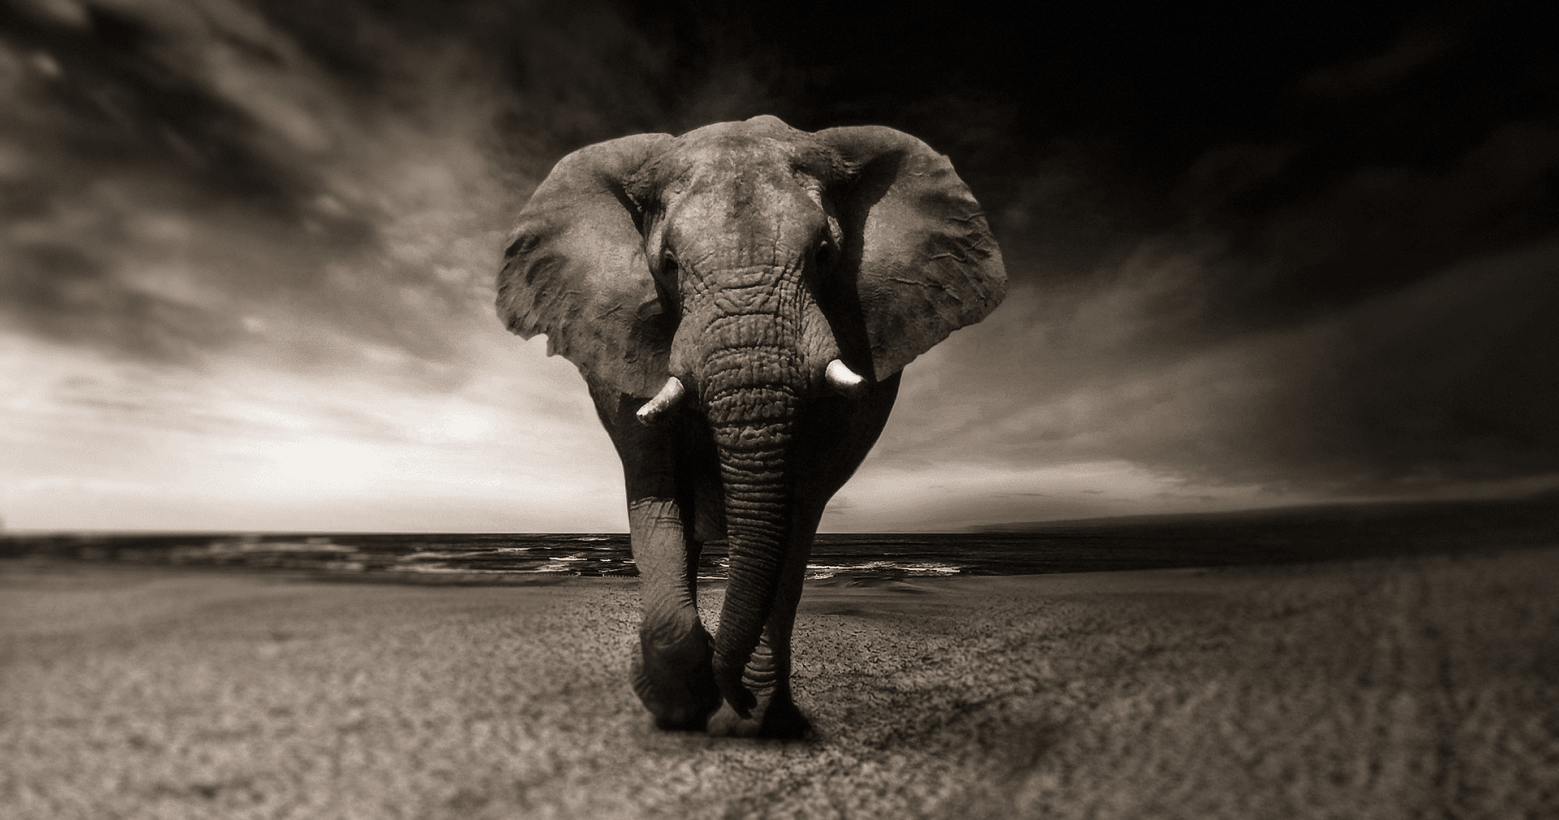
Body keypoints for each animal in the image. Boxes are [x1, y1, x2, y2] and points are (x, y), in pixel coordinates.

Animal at [496, 115, 1005, 737]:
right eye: (667, 265)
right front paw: (680, 704)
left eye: (825, 254)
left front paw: (752, 716)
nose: (732, 694)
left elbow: (797, 508)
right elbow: (656, 492)